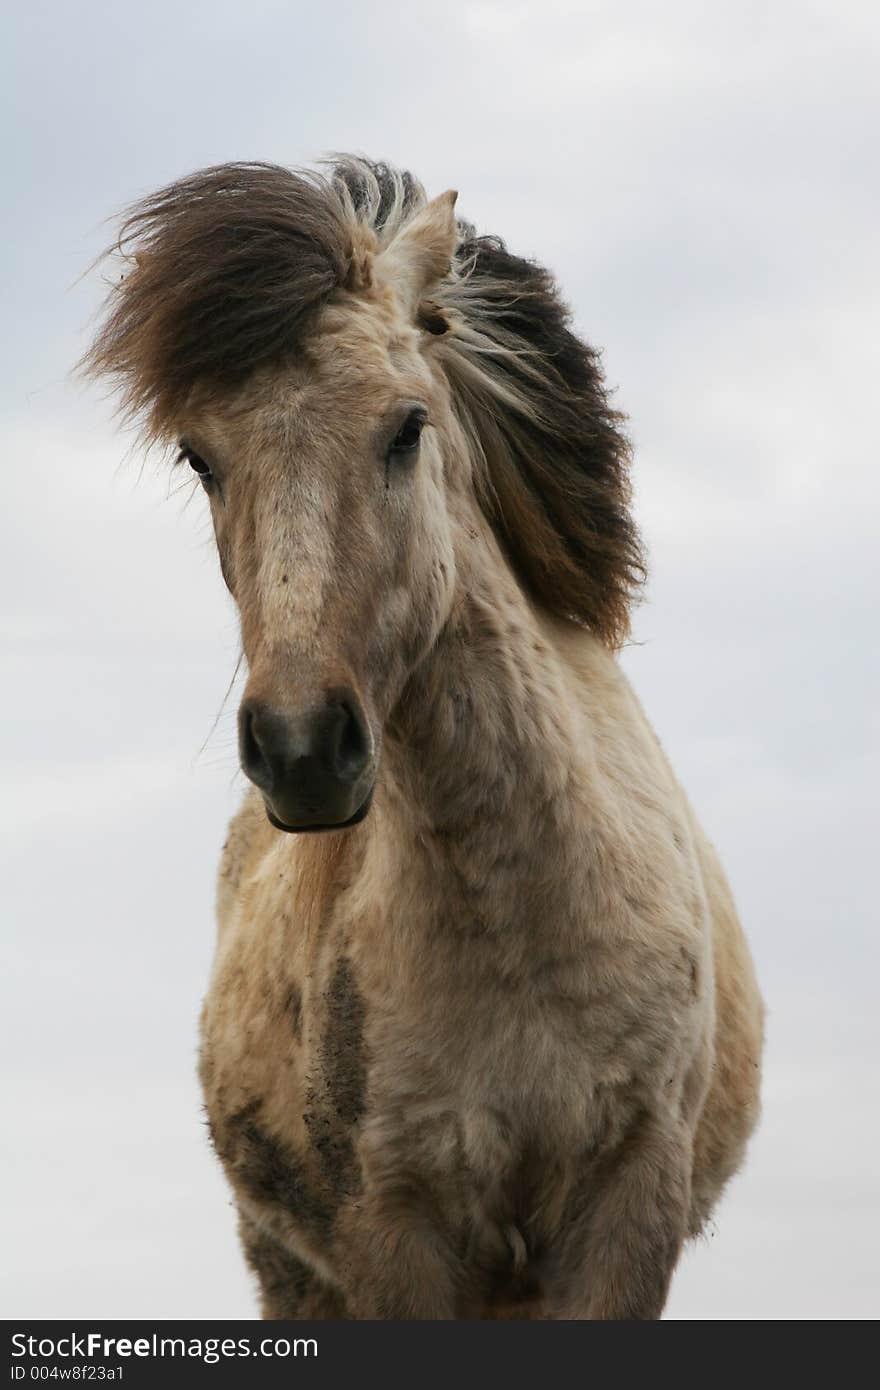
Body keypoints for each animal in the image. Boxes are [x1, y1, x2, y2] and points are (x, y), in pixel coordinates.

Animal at [85, 157, 767, 1317]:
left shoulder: (628, 1211)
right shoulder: (392, 1226)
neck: (518, 918)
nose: (302, 747)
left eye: (407, 427)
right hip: (290, 1267)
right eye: (198, 457)